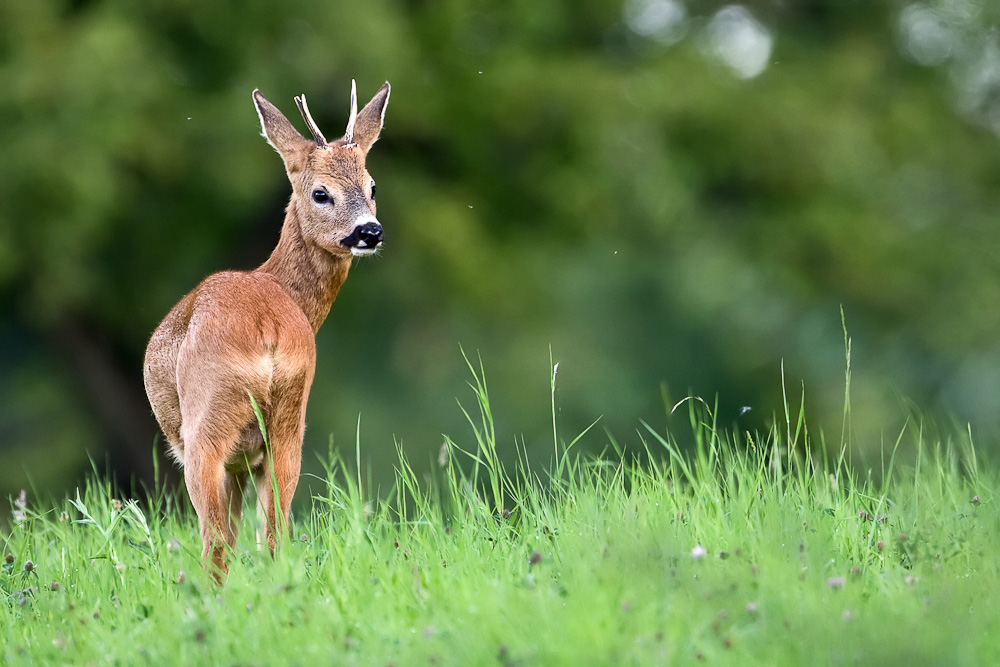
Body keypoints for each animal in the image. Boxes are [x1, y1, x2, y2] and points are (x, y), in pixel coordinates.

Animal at [144, 79, 390, 584]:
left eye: (372, 186)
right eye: (321, 193)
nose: (370, 232)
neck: (280, 287)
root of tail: (267, 330)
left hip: (208, 423)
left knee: (217, 543)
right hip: (291, 417)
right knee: (274, 536)